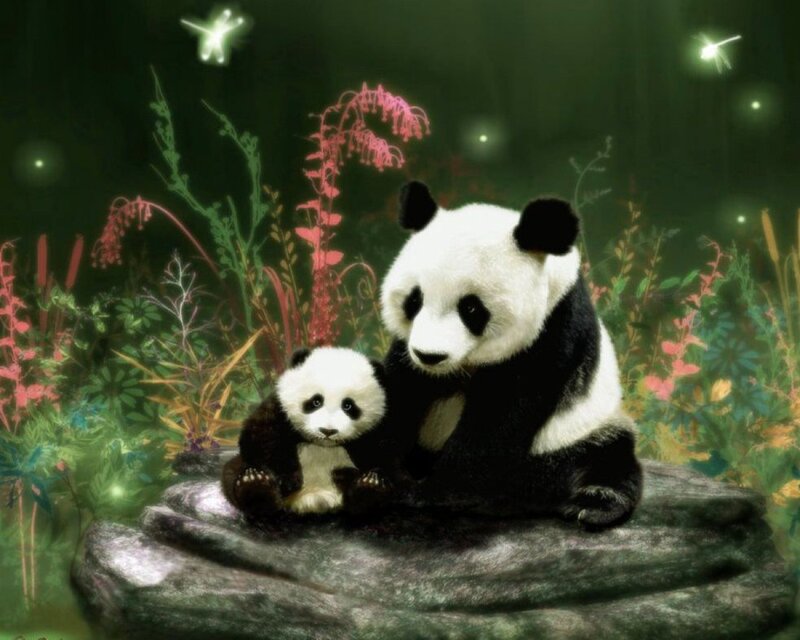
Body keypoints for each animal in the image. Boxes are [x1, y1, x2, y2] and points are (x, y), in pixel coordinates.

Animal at [221, 347, 394, 517]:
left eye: (348, 405)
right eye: (316, 401)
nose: (327, 431)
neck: (322, 444)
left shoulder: (376, 428)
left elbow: (382, 454)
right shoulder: (279, 408)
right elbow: (262, 435)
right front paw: (287, 479)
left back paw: (368, 488)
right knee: (233, 472)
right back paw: (256, 486)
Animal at [379, 181, 643, 530]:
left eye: (471, 308)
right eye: (414, 300)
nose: (429, 355)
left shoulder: (552, 331)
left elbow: (500, 414)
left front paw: (430, 493)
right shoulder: (407, 349)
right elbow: (400, 387)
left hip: (582, 429)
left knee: (609, 456)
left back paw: (594, 504)